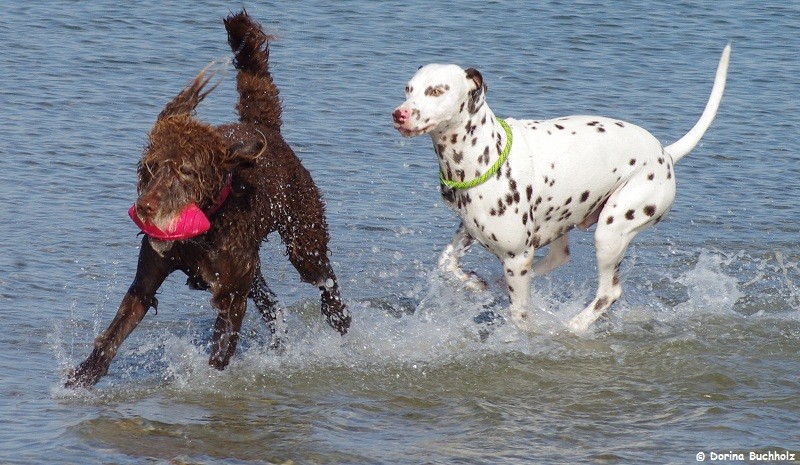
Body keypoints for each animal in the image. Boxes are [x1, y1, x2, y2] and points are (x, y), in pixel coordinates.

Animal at [65, 11, 346, 388]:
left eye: (186, 171)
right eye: (150, 166)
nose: (145, 207)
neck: (208, 224)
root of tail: (263, 127)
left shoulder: (230, 297)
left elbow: (221, 351)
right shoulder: (146, 282)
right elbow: (114, 333)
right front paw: (83, 376)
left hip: (303, 236)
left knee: (323, 276)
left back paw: (339, 316)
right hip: (254, 268)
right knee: (271, 303)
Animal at [394, 44, 732, 330]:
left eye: (436, 91)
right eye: (408, 89)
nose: (399, 113)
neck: (484, 154)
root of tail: (665, 153)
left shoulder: (517, 257)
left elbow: (519, 315)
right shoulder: (469, 231)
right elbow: (445, 264)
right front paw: (474, 282)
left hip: (610, 232)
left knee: (608, 293)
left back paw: (574, 327)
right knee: (559, 258)